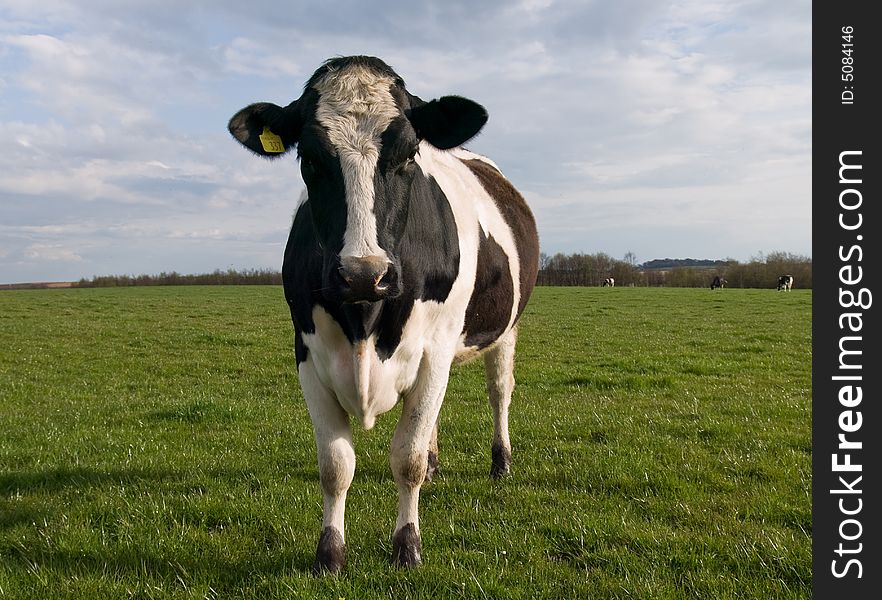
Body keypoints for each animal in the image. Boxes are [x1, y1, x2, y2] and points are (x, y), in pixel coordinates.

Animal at [227, 55, 540, 572]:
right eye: (308, 158)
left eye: (409, 155)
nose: (362, 273)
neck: (365, 322)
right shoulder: (307, 353)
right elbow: (335, 465)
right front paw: (330, 552)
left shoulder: (434, 350)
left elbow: (406, 458)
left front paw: (407, 546)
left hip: (505, 329)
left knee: (499, 392)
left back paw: (501, 462)